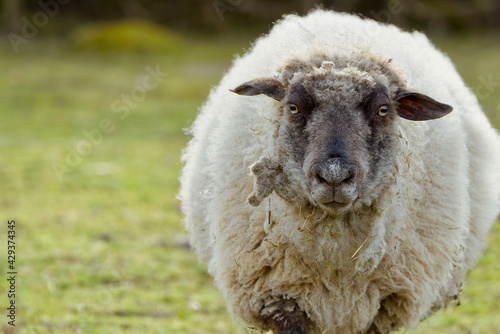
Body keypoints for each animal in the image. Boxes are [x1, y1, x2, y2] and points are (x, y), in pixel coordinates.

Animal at [179, 9, 500, 332]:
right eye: (293, 107)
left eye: (383, 110)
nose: (334, 175)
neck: (334, 254)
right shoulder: (278, 297)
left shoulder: (384, 306)